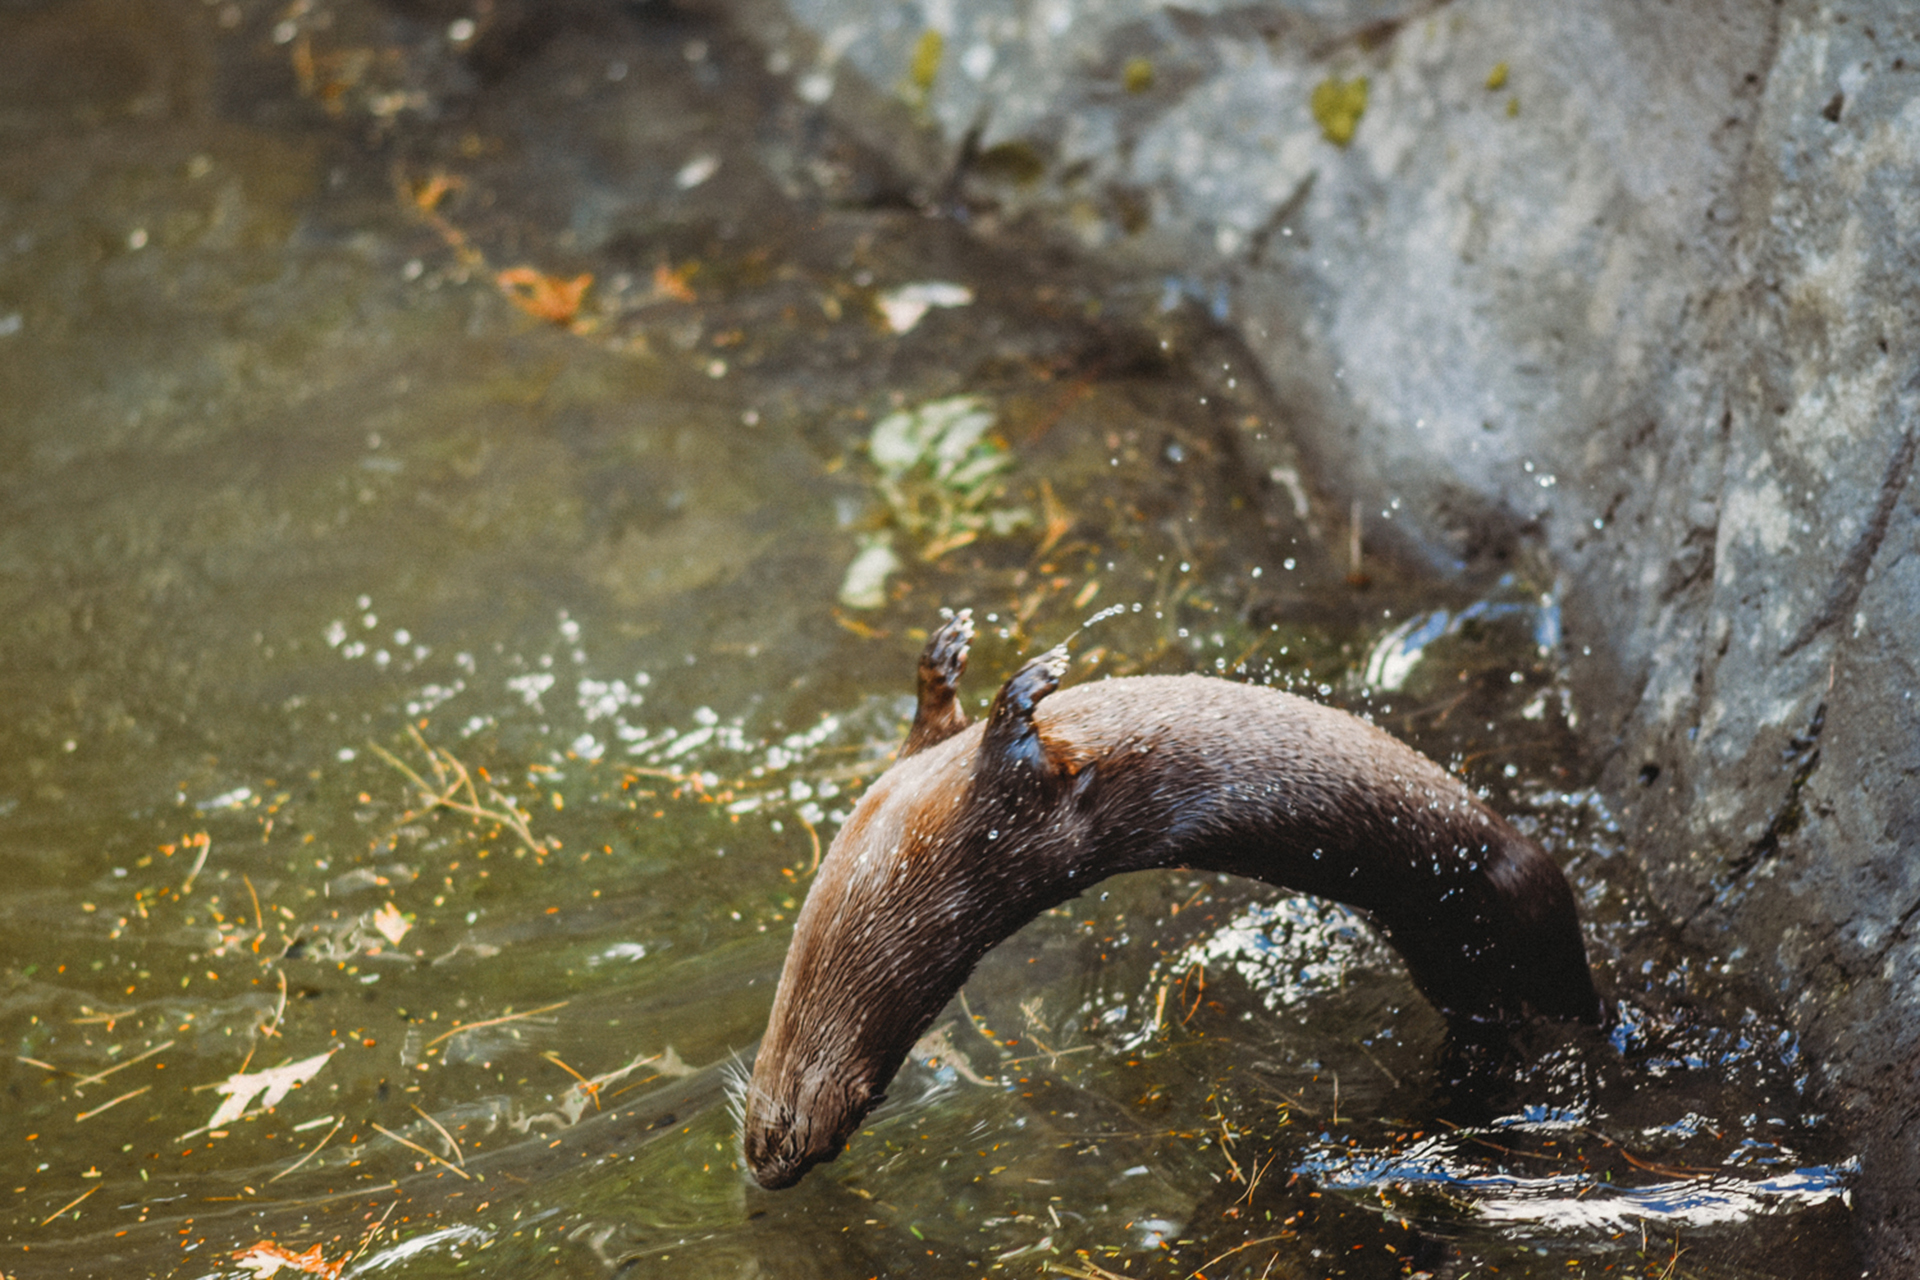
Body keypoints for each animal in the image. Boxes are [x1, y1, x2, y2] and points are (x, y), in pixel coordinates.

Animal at [741, 610, 1597, 1189]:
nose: (762, 1160)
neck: (928, 861)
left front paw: (956, 657)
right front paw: (1013, 685)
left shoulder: (977, 804)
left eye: (791, 1130)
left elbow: (949, 723)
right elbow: (999, 748)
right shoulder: (1009, 825)